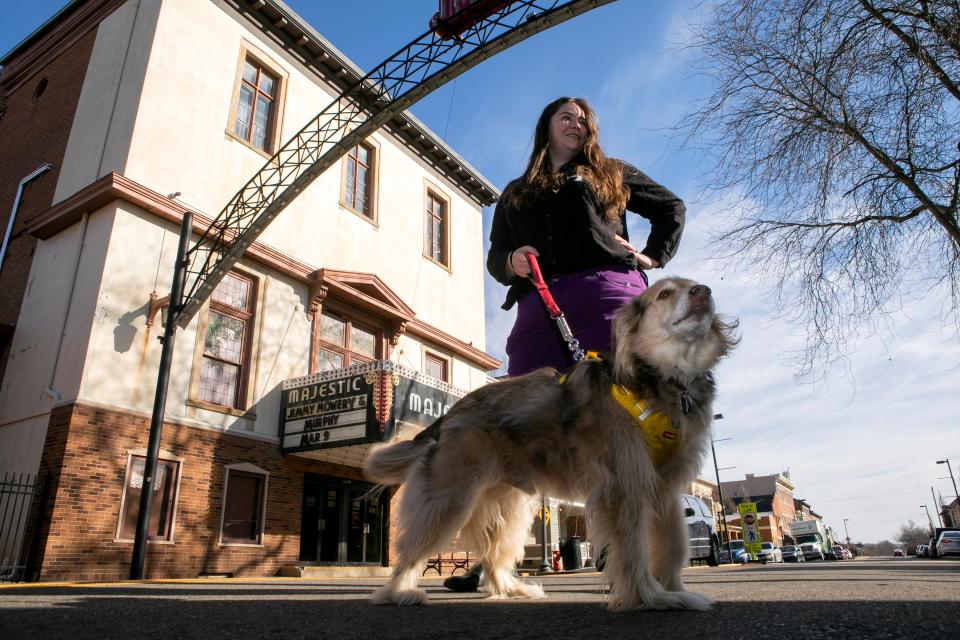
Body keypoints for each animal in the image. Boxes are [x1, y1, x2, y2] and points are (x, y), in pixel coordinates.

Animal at [364, 278, 740, 612]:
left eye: (694, 286)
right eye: (665, 293)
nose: (703, 292)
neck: (669, 380)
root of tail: (450, 414)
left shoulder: (663, 487)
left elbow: (674, 544)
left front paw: (672, 589)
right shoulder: (624, 485)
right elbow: (633, 550)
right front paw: (651, 598)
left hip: (507, 504)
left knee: (494, 553)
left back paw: (511, 589)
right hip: (450, 498)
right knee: (413, 547)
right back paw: (399, 591)